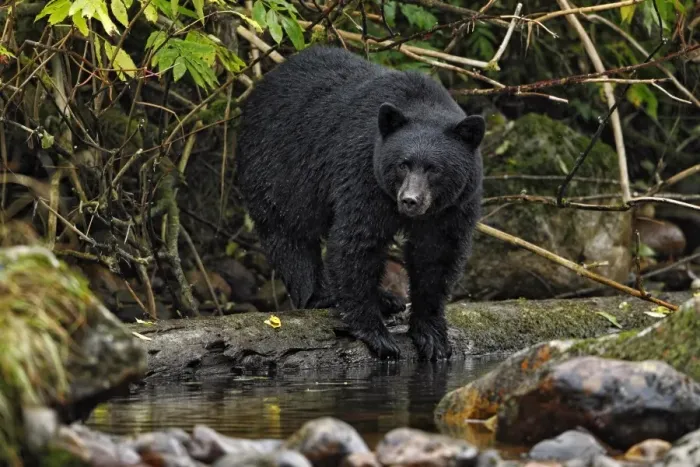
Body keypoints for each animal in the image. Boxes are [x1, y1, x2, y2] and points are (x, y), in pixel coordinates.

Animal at [235, 46, 484, 360]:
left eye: (434, 169)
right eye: (403, 164)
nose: (410, 201)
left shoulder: (454, 205)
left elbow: (437, 255)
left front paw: (432, 335)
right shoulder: (364, 174)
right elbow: (357, 242)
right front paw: (376, 333)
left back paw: (387, 299)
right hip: (278, 166)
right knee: (290, 233)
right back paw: (322, 294)